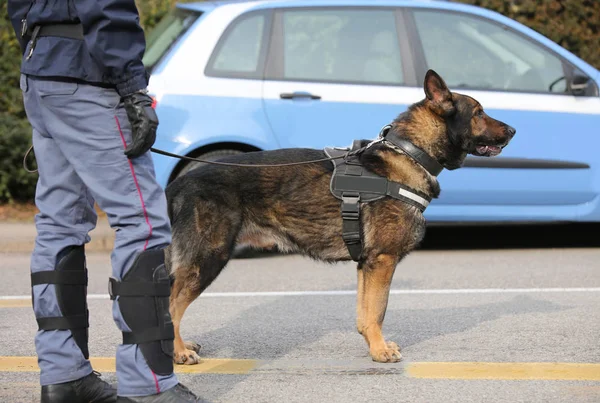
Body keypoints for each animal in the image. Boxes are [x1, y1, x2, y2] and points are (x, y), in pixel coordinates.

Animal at [164, 70, 516, 366]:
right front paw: (380, 351)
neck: (409, 153)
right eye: (479, 112)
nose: (513, 130)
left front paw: (374, 345)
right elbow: (378, 311)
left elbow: (366, 314)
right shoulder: (382, 261)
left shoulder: (367, 264)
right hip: (208, 259)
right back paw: (178, 352)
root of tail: (178, 183)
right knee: (171, 306)